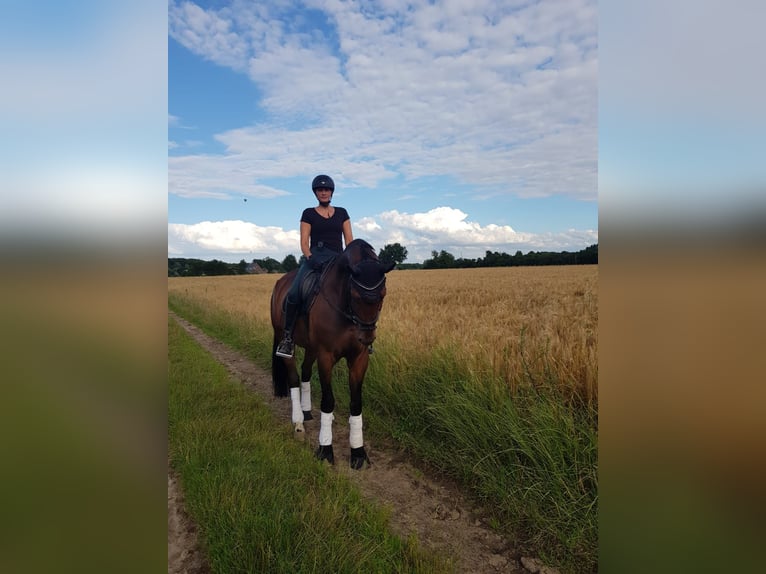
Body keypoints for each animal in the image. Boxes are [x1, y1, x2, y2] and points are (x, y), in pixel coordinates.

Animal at [270, 241, 396, 470]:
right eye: (355, 296)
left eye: (383, 294)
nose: (367, 338)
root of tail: (279, 283)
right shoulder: (326, 356)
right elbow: (328, 401)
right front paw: (325, 449)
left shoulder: (359, 359)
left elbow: (356, 403)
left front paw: (358, 452)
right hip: (287, 341)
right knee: (293, 378)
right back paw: (298, 423)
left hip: (311, 349)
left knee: (305, 373)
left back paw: (307, 412)